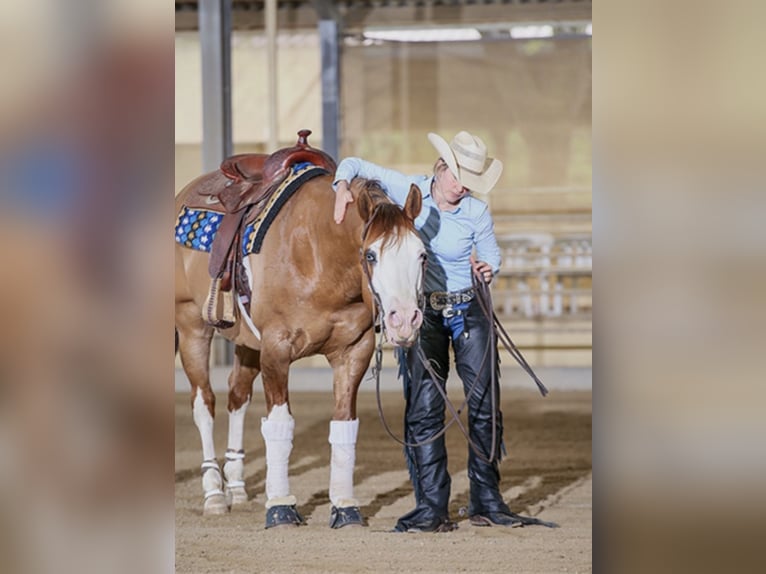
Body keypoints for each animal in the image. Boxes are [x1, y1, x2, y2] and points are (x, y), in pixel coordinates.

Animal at [175, 158, 426, 528]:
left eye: (422, 255)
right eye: (371, 255)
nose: (405, 319)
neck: (319, 255)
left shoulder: (354, 351)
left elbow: (344, 427)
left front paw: (345, 506)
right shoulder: (277, 349)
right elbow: (280, 426)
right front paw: (280, 505)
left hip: (247, 344)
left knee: (237, 396)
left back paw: (236, 488)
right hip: (192, 325)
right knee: (203, 403)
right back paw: (215, 494)